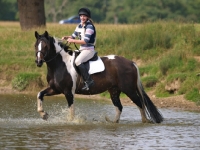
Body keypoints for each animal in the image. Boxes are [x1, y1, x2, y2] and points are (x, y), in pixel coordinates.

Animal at [33, 30, 163, 123]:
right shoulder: (55, 89)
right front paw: (43, 114)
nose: (38, 62)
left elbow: (71, 110)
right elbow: (39, 94)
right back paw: (112, 122)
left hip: (129, 89)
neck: (60, 64)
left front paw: (71, 122)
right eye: (36, 45)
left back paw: (145, 121)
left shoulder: (68, 92)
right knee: (119, 107)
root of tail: (131, 63)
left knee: (140, 103)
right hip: (114, 91)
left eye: (45, 46)